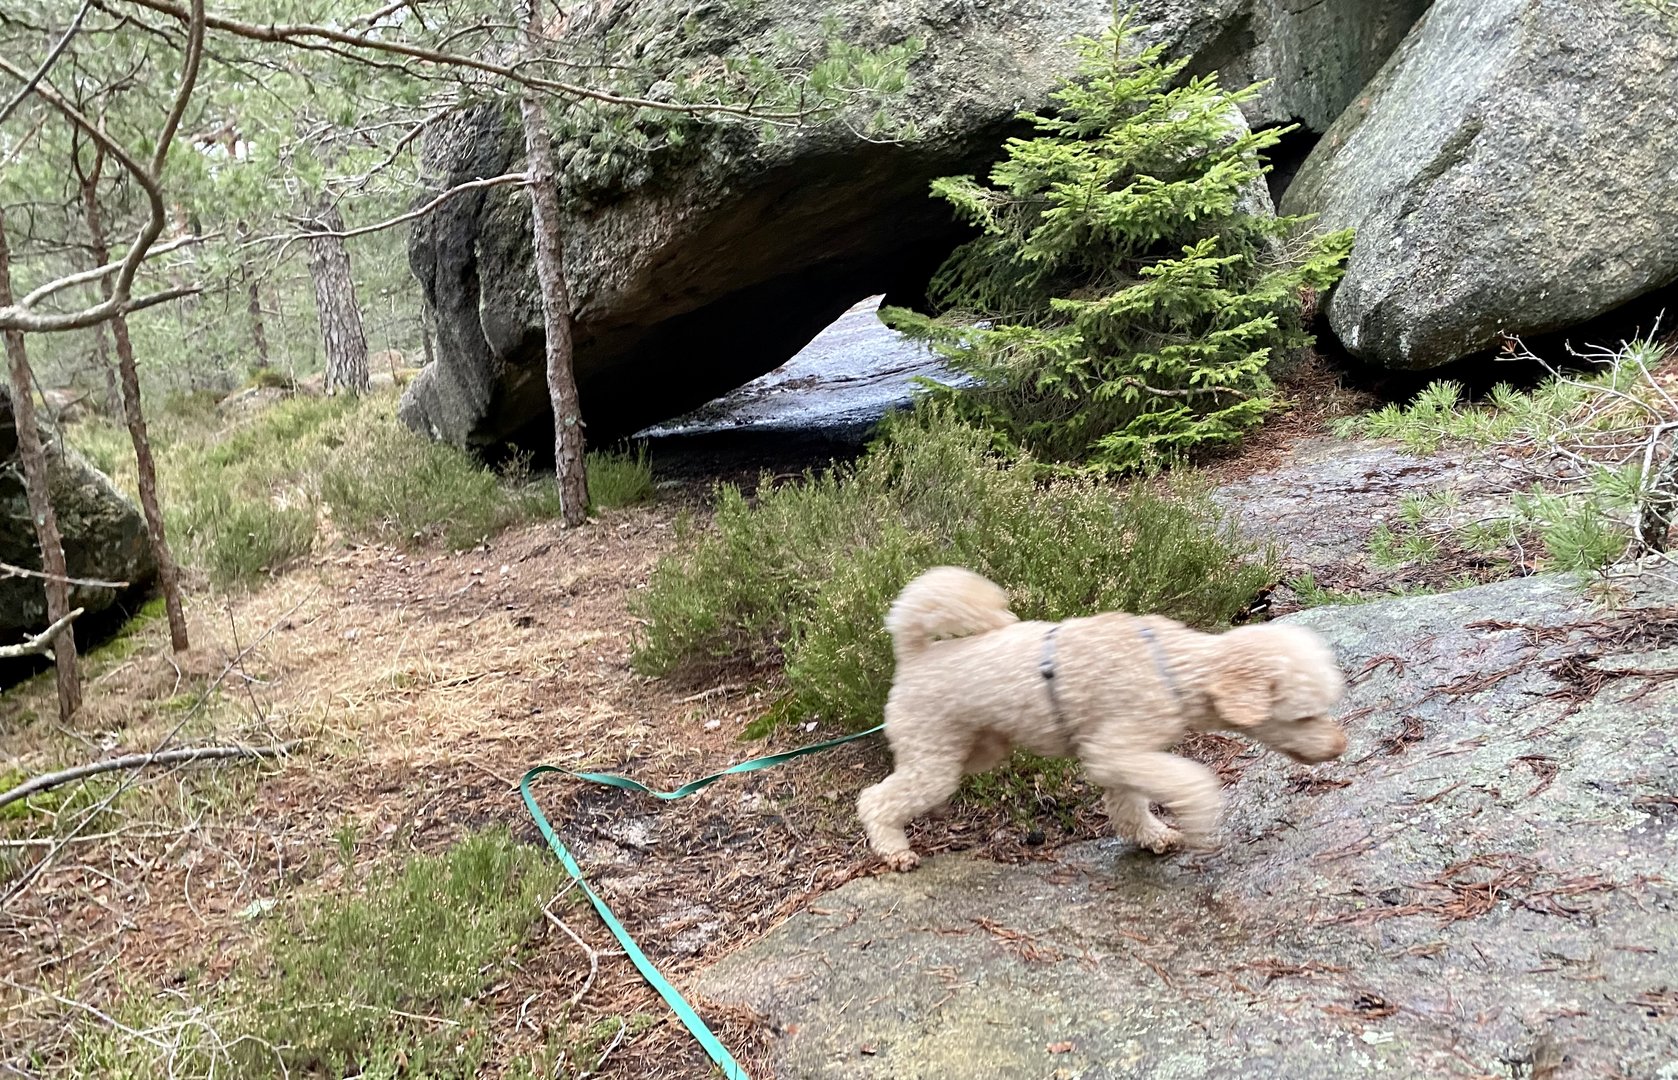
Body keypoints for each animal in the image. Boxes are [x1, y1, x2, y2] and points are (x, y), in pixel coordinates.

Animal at [857, 566, 1348, 871]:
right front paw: (1200, 821)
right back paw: (895, 851)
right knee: (875, 800)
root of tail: (913, 654)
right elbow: (1193, 782)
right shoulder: (1114, 749)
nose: (1340, 746)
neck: (1172, 668)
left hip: (976, 749)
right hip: (933, 760)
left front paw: (1153, 836)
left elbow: (1129, 807)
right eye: (1306, 714)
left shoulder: (1123, 759)